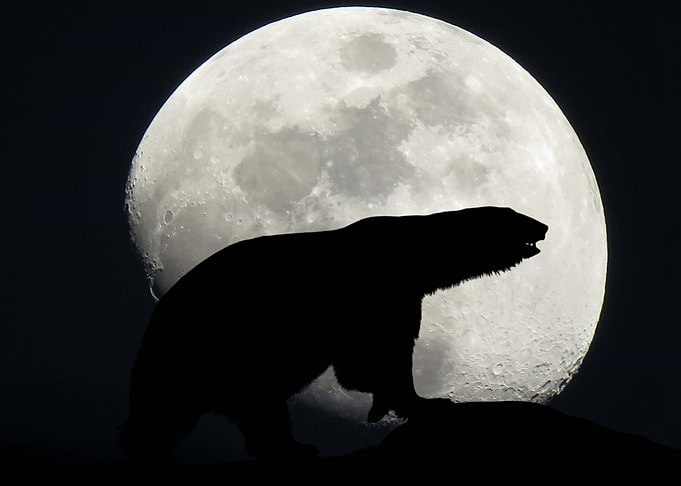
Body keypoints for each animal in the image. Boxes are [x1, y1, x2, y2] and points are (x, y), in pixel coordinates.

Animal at [120, 206, 548, 461]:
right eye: (514, 215)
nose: (543, 224)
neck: (413, 254)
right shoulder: (378, 292)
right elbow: (373, 356)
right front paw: (424, 402)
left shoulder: (399, 295)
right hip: (211, 348)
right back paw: (295, 448)